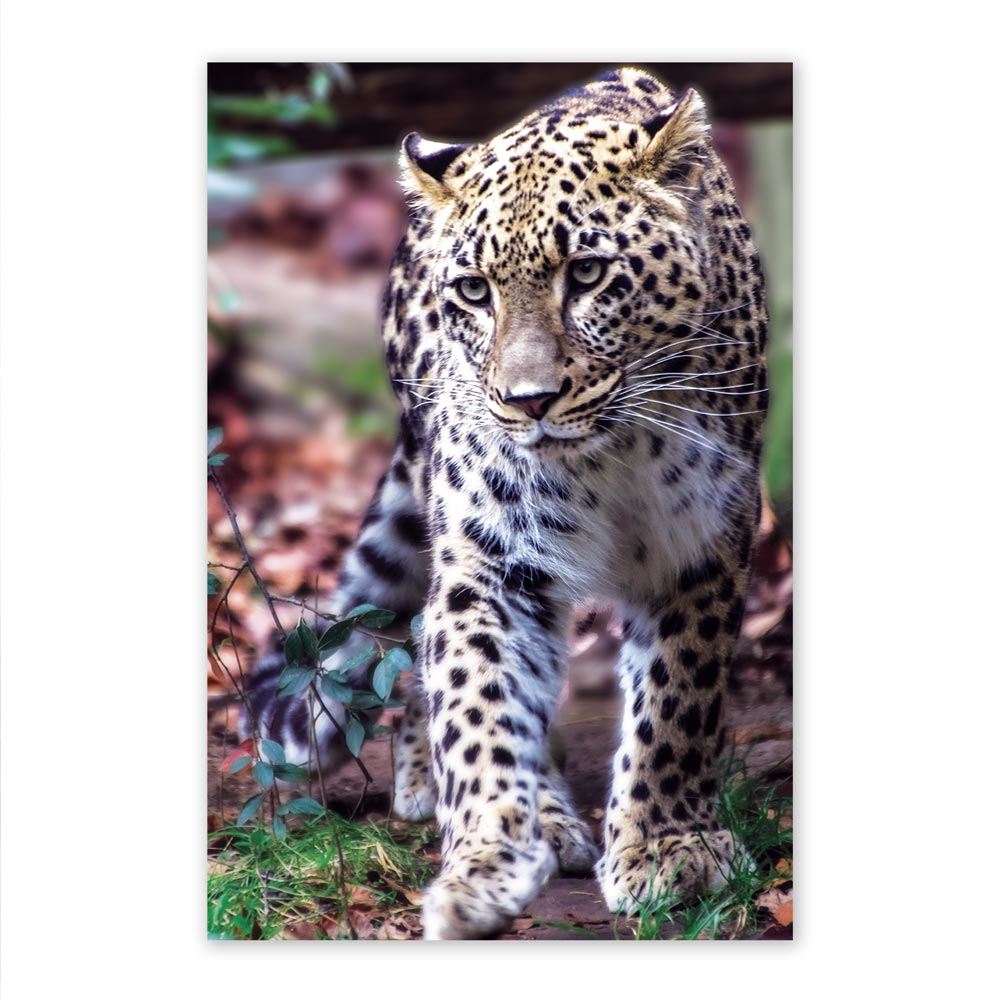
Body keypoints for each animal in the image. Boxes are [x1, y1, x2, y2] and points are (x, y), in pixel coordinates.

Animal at [243, 66, 768, 940]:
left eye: (586, 274)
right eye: (474, 291)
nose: (528, 402)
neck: (612, 452)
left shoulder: (705, 545)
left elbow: (676, 703)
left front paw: (668, 847)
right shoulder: (491, 559)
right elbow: (477, 703)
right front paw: (485, 861)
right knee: (425, 645)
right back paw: (493, 802)